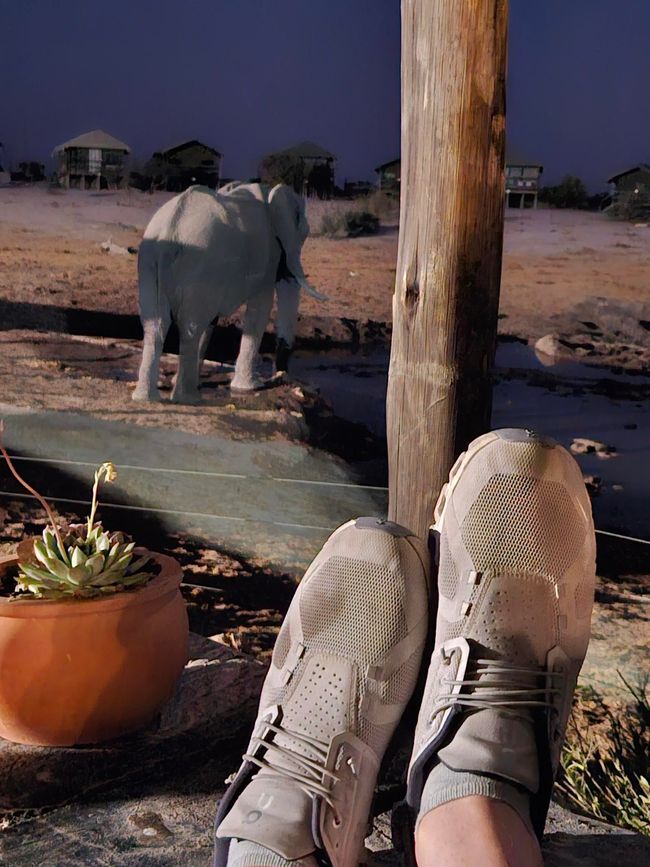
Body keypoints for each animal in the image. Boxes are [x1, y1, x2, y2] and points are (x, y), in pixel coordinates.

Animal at [132, 184, 322, 406]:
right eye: (305, 233)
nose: (280, 375)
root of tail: (171, 228)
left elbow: (212, 321)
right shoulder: (267, 256)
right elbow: (261, 306)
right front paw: (251, 387)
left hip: (150, 261)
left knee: (156, 324)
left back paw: (146, 398)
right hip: (197, 265)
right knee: (190, 327)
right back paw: (189, 399)